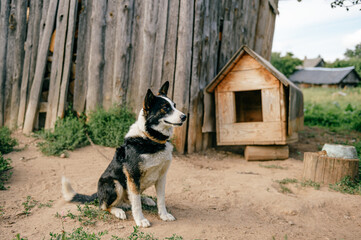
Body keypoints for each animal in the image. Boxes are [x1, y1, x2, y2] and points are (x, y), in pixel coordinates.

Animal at [61, 81, 186, 228]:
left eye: (174, 105)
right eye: (165, 108)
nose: (184, 116)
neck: (150, 139)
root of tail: (98, 194)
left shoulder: (161, 176)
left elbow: (161, 200)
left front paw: (164, 215)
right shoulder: (133, 175)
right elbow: (136, 204)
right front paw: (140, 220)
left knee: (130, 199)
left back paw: (143, 200)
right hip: (115, 184)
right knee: (104, 206)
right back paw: (119, 211)